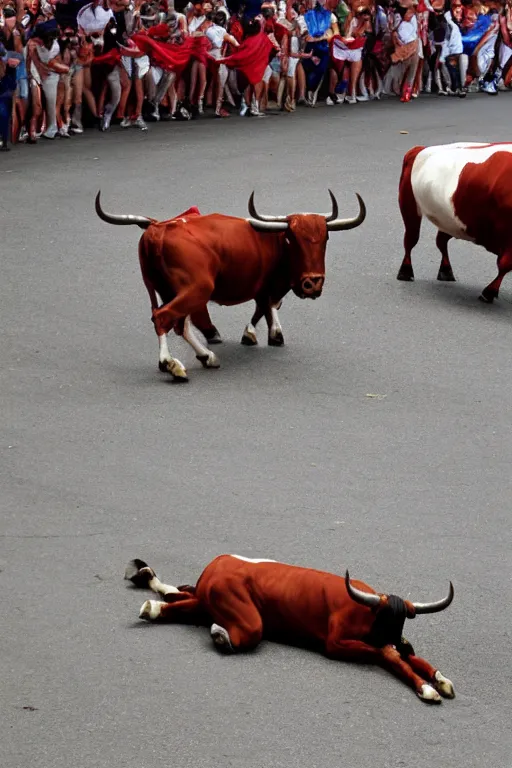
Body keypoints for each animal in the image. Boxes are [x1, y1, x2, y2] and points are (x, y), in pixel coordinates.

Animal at [96, 190, 366, 380]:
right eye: (292, 239)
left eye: (325, 237)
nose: (312, 283)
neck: (272, 241)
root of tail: (159, 229)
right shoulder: (269, 285)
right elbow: (267, 305)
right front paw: (261, 333)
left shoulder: (265, 287)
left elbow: (266, 307)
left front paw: (264, 332)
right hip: (197, 289)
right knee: (165, 318)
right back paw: (172, 364)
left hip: (162, 288)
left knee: (175, 321)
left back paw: (206, 355)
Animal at [126, 556, 454, 704]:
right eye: (384, 618)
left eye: (401, 621)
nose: (394, 638)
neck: (366, 611)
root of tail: (216, 565)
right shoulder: (336, 643)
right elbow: (390, 656)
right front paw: (426, 687)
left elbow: (410, 654)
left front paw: (440, 679)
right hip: (240, 613)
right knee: (240, 630)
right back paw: (218, 633)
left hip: (205, 601)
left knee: (178, 597)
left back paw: (150, 595)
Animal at [398, 142, 512, 304]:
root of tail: (420, 149)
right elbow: (505, 264)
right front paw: (489, 292)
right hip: (409, 205)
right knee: (410, 239)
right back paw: (405, 271)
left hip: (449, 220)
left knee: (441, 241)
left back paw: (446, 271)